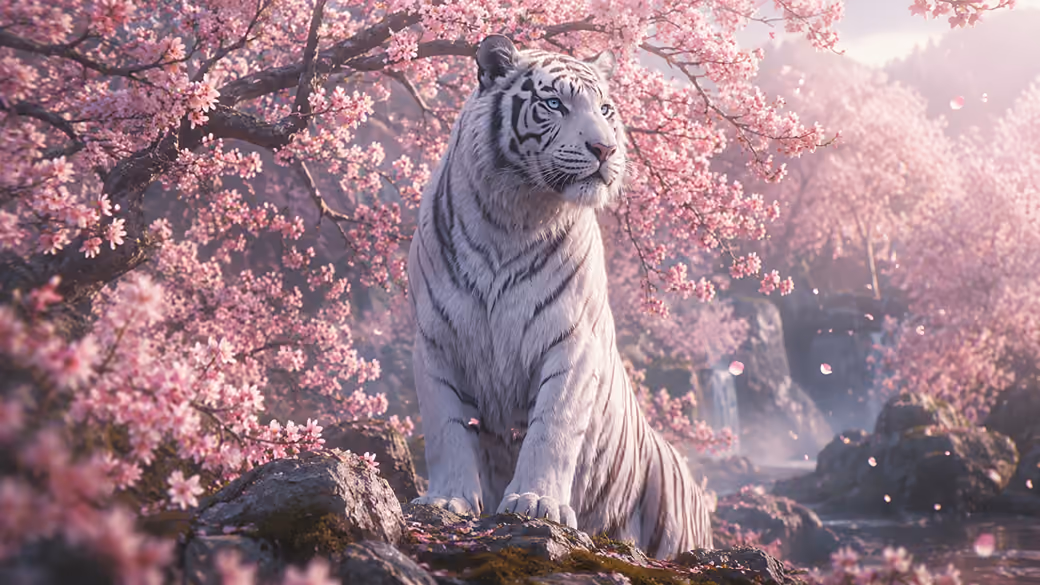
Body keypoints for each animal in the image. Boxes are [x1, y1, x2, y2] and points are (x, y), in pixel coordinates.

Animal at [406, 34, 714, 559]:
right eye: (554, 104)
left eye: (606, 109)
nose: (605, 148)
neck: (512, 216)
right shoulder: (434, 341)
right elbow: (446, 426)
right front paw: (448, 501)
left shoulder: (572, 342)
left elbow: (552, 427)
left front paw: (536, 503)